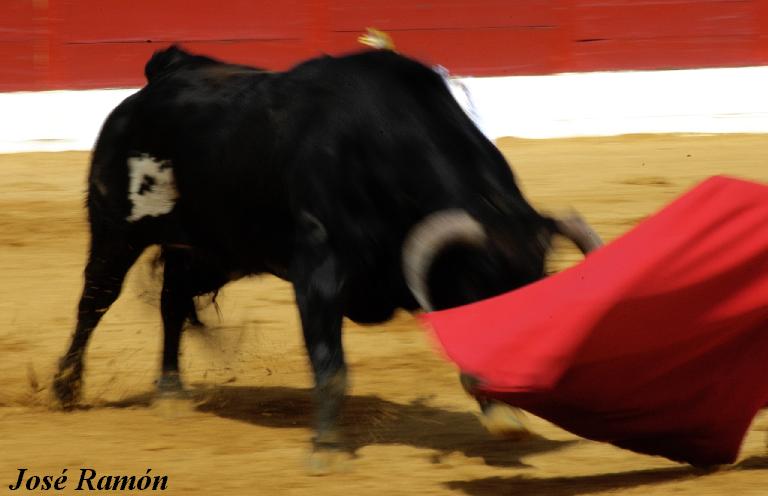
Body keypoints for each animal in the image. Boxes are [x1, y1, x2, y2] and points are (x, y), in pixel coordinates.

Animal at [52, 45, 600, 462]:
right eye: (481, 289)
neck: (381, 144)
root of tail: (164, 74)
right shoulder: (318, 271)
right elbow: (330, 363)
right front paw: (327, 449)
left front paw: (503, 414)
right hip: (115, 231)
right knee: (94, 302)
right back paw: (65, 389)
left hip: (214, 250)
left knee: (172, 303)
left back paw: (170, 391)